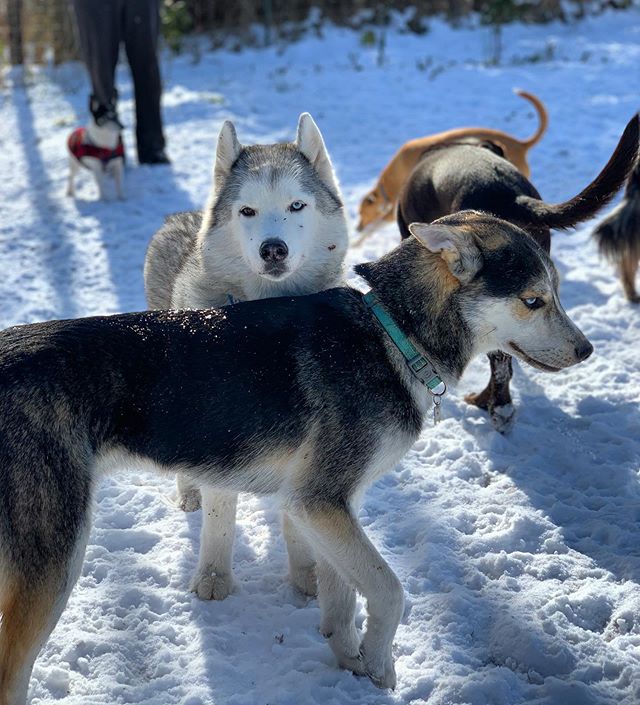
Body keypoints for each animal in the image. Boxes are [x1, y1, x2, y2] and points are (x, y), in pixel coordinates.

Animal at [0, 210, 596, 700]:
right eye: (534, 300)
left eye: (556, 292)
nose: (587, 349)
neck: (392, 335)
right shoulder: (319, 500)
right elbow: (389, 590)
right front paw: (379, 663)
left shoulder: (322, 506)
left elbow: (342, 593)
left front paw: (348, 654)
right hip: (54, 560)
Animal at [144, 114, 348, 600]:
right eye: (247, 211)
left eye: (297, 205)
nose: (273, 248)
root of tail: (180, 218)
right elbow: (219, 521)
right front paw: (214, 579)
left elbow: (298, 522)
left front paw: (307, 578)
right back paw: (190, 492)